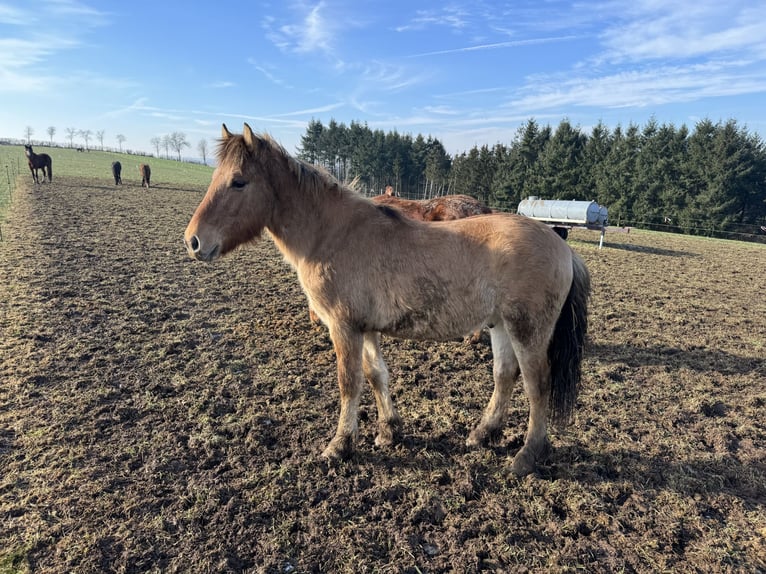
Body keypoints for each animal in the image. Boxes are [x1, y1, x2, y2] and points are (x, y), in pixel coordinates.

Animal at [183, 124, 592, 480]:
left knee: (537, 385)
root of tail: (563, 247)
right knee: (505, 375)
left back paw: (527, 456)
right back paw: (482, 433)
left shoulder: (343, 327)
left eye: (238, 181)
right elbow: (376, 375)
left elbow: (349, 383)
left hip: (527, 330)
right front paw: (388, 430)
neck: (332, 235)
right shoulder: (364, 328)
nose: (194, 241)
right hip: (501, 326)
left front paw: (339, 446)